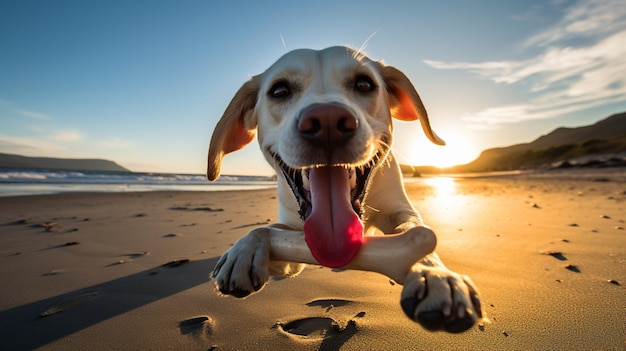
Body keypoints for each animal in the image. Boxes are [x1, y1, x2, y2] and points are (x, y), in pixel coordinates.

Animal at [207, 46, 480, 332]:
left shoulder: (401, 210)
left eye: (364, 84)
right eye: (279, 90)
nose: (327, 120)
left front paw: (436, 275)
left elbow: (415, 230)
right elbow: (268, 229)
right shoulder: (293, 243)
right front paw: (243, 250)